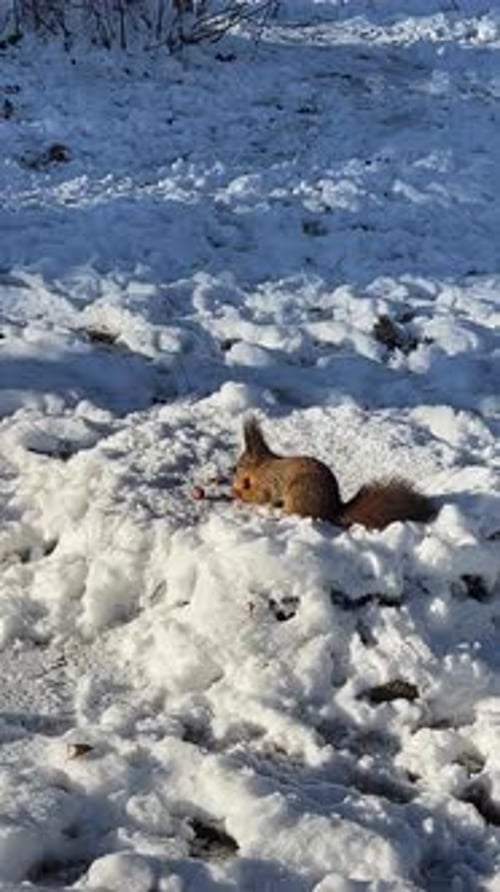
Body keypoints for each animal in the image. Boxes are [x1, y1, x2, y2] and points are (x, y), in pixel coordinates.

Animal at [231, 417, 436, 531]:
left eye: (240, 464)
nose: (233, 470)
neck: (262, 466)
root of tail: (333, 510)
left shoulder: (268, 482)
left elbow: (260, 497)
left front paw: (237, 493)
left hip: (299, 495)